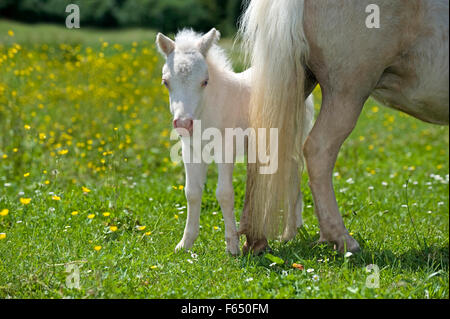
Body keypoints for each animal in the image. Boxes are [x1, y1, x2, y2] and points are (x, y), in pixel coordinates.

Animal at [158, 28, 316, 256]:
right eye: (166, 82)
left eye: (204, 81)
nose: (183, 123)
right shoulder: (192, 150)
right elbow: (192, 192)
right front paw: (185, 244)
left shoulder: (226, 148)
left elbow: (224, 193)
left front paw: (232, 245)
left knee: (291, 171)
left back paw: (289, 231)